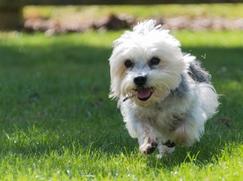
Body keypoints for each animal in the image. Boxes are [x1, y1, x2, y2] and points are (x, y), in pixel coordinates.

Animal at [108, 19, 218, 158]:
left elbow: (183, 130)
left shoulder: (191, 110)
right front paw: (148, 144)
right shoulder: (136, 116)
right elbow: (144, 128)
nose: (139, 79)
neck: (158, 101)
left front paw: (173, 139)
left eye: (155, 60)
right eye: (127, 63)